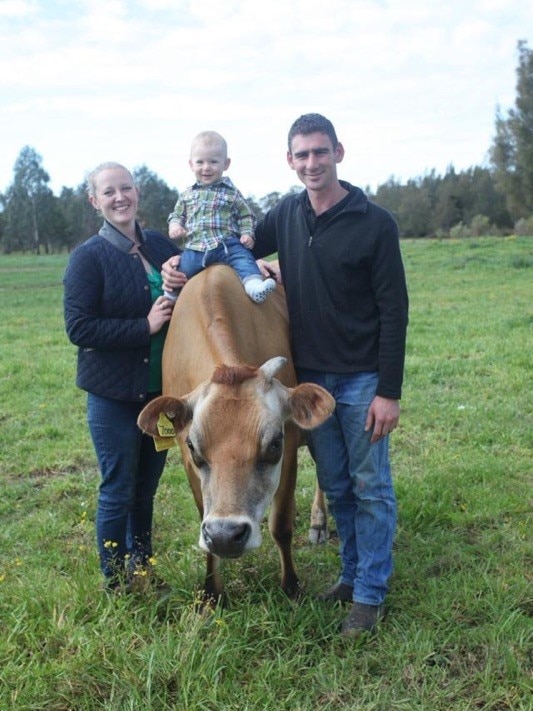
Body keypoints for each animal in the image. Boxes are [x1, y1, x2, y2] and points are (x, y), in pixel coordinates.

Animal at [137, 268, 332, 608]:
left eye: (274, 445)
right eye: (193, 446)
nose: (225, 536)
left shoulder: (290, 452)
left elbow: (281, 526)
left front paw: (291, 586)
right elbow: (203, 515)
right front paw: (211, 593)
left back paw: (319, 524)